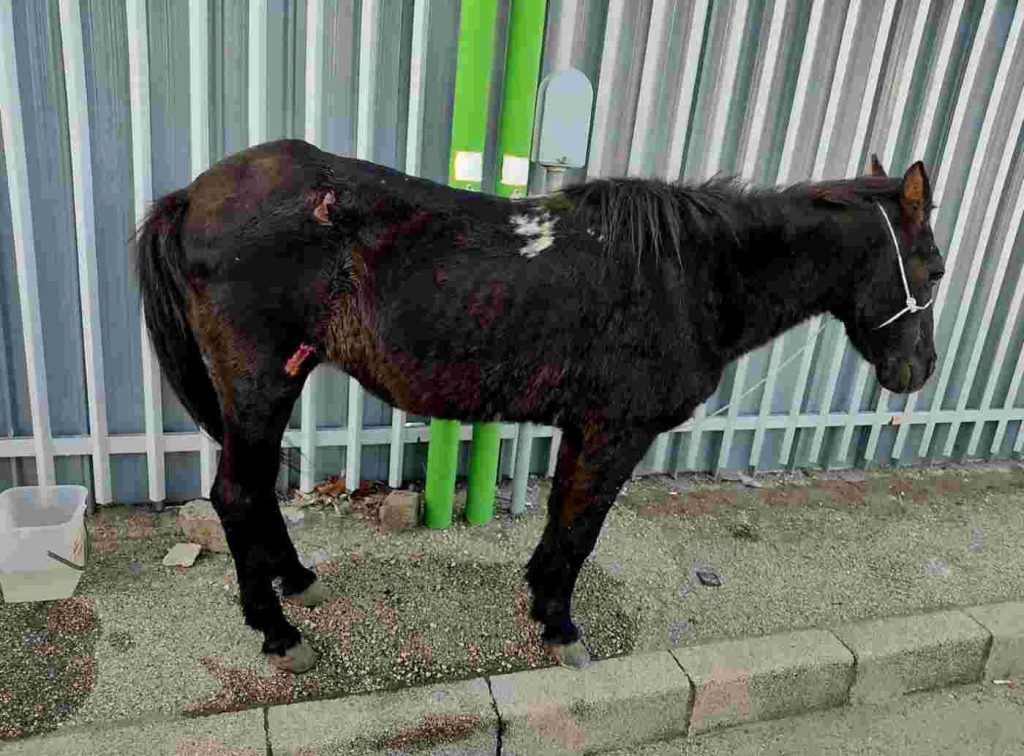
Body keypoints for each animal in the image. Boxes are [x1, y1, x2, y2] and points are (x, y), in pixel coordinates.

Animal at [134, 139, 943, 673]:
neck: (690, 274)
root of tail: (195, 194)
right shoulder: (617, 432)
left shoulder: (584, 430)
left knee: (254, 490)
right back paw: (277, 631)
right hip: (262, 382)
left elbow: (562, 519)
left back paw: (297, 581)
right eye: (932, 265)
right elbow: (582, 529)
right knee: (237, 494)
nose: (920, 370)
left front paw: (540, 597)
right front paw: (559, 624)